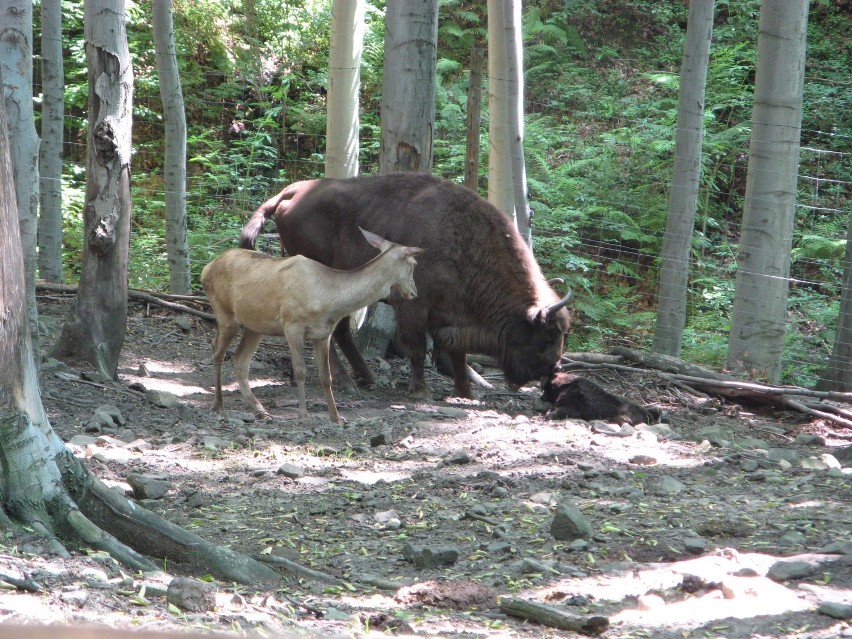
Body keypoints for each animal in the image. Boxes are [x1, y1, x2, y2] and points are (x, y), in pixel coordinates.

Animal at [203, 230, 422, 424]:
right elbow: (301, 370)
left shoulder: (323, 334)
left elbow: (326, 376)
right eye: (413, 264)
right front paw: (303, 414)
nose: (414, 292)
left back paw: (261, 411)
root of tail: (206, 269)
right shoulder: (292, 325)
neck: (328, 301)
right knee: (217, 351)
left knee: (240, 359)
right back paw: (219, 407)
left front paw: (336, 418)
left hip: (255, 326)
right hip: (225, 314)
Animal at [240, 172, 572, 398]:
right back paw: (347, 383)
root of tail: (291, 192)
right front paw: (420, 390)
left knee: (342, 332)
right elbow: (417, 348)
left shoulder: (450, 318)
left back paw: (366, 378)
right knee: (329, 335)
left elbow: (457, 352)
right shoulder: (414, 307)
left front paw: (466, 392)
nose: (553, 369)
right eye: (548, 333)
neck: (463, 244)